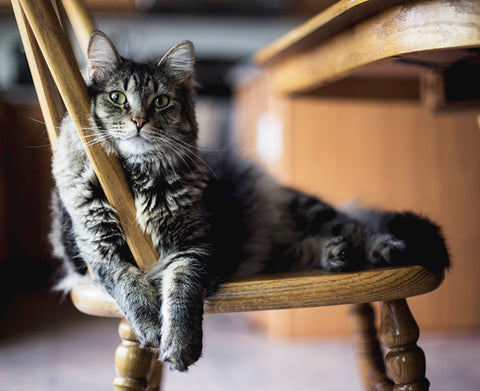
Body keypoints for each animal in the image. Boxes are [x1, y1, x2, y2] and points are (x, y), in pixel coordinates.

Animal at [49, 30, 450, 374]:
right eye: (117, 97)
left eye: (161, 101)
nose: (138, 121)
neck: (136, 177)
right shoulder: (97, 249)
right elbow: (128, 284)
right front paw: (149, 326)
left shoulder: (194, 248)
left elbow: (181, 294)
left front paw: (179, 344)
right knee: (303, 248)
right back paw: (335, 254)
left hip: (309, 212)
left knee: (357, 226)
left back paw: (383, 248)